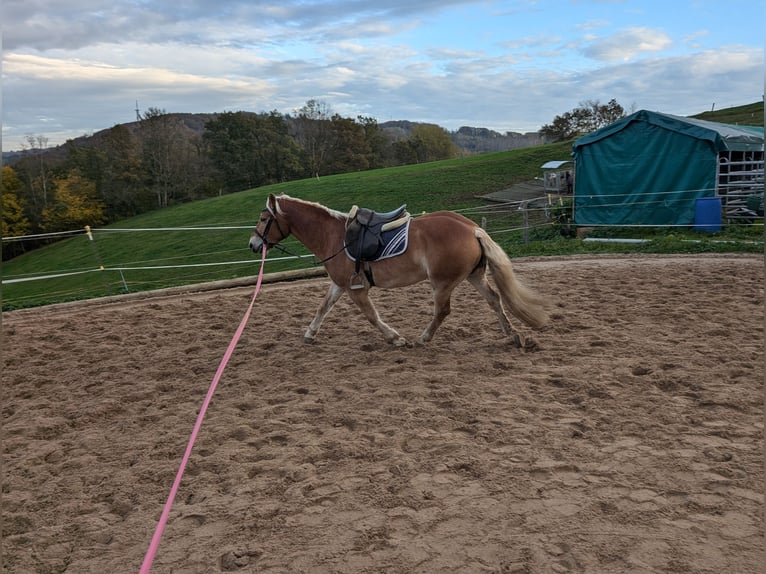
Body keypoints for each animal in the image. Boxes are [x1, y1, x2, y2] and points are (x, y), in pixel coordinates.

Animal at [254, 194, 552, 346]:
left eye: (264, 218)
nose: (253, 244)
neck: (335, 236)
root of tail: (472, 228)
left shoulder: (355, 289)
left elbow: (371, 316)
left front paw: (395, 338)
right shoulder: (340, 285)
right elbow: (323, 307)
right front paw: (310, 333)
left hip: (442, 282)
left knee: (443, 311)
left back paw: (423, 338)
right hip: (473, 276)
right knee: (494, 299)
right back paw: (511, 335)